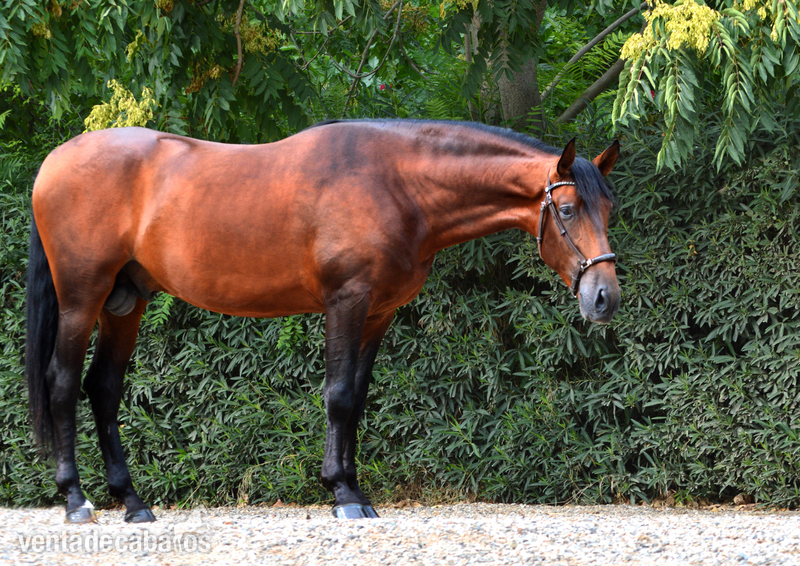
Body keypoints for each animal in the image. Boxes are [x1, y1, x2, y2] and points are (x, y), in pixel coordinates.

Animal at [26, 119, 620, 523]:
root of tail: (54, 161)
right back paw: (75, 499)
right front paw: (343, 495)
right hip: (81, 299)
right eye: (569, 210)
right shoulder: (347, 301)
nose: (604, 298)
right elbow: (336, 394)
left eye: (608, 209)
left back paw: (132, 502)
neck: (397, 183)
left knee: (103, 389)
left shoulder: (378, 312)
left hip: (125, 304)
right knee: (62, 384)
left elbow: (355, 398)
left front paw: (353, 488)